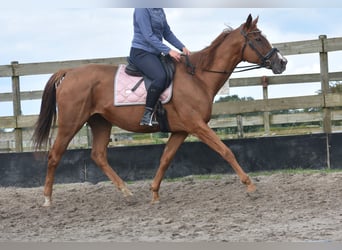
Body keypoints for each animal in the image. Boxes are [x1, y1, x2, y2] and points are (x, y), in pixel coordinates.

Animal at [34, 15, 286, 207]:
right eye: (257, 38)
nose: (282, 62)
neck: (198, 77)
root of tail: (69, 72)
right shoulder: (197, 126)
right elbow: (226, 151)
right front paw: (250, 186)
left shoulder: (181, 131)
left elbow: (165, 159)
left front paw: (154, 193)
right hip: (71, 123)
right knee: (54, 155)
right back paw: (47, 199)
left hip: (101, 122)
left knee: (98, 155)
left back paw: (127, 192)